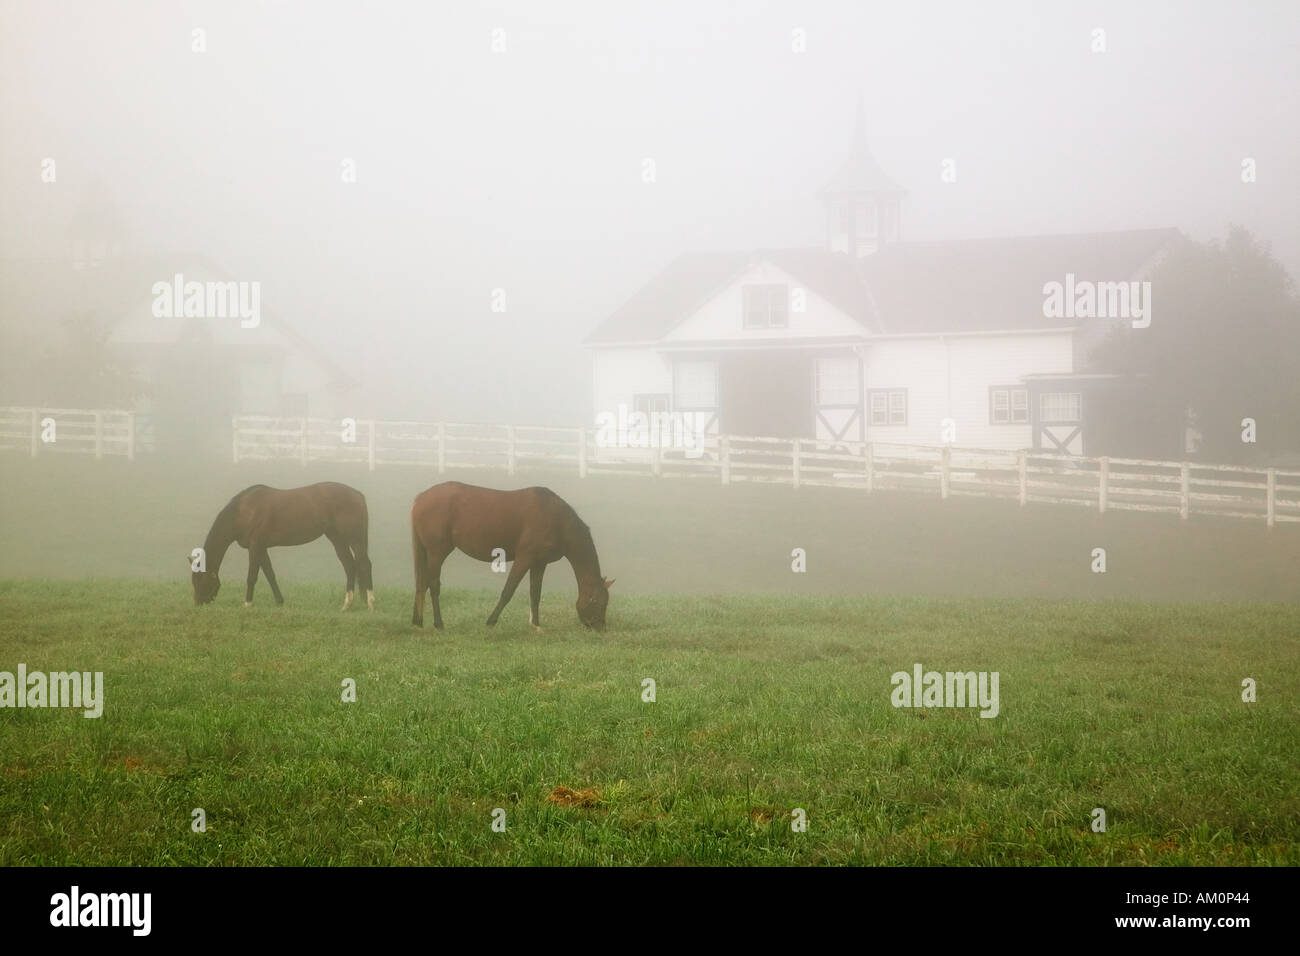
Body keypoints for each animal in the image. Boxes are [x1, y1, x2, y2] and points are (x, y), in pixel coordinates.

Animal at [192, 481, 377, 608]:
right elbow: (270, 574)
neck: (244, 510)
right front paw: (279, 601)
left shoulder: (255, 546)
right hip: (337, 538)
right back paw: (347, 605)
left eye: (200, 579)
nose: (198, 603)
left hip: (354, 538)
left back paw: (370, 603)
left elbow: (252, 576)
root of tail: (358, 495)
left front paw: (247, 604)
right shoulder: (261, 548)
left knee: (364, 564)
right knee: (350, 566)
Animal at [410, 481, 613, 632]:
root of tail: (421, 498)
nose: (601, 628)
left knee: (421, 583)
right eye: (599, 602)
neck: (556, 519)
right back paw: (438, 624)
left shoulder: (539, 563)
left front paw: (536, 625)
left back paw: (418, 621)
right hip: (437, 552)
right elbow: (508, 590)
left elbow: (535, 593)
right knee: (433, 585)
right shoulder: (525, 558)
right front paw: (491, 621)